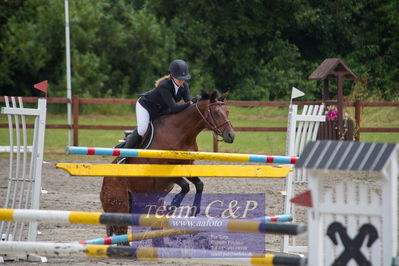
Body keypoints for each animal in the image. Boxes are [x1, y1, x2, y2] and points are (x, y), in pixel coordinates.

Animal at [100, 90, 236, 238]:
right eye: (216, 112)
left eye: (227, 111)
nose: (231, 136)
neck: (181, 133)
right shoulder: (162, 172)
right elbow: (185, 186)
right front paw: (171, 207)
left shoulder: (186, 165)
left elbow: (199, 185)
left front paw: (194, 211)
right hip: (119, 205)